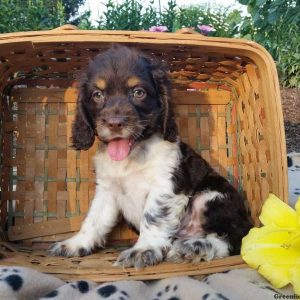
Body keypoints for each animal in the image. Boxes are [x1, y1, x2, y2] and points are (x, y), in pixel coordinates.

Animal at [48, 45, 251, 270]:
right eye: (97, 94)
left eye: (138, 92)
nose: (115, 123)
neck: (133, 155)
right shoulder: (107, 189)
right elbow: (94, 218)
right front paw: (76, 243)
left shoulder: (165, 184)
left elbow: (153, 216)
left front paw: (144, 249)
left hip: (211, 196)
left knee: (233, 239)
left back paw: (194, 247)